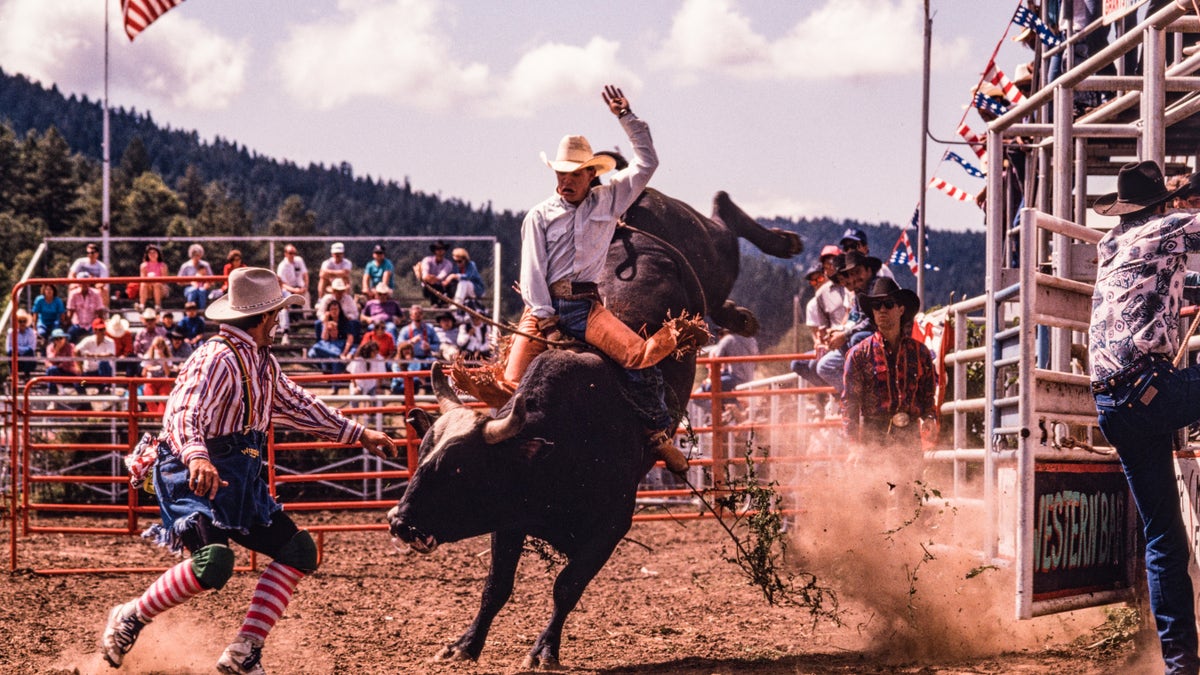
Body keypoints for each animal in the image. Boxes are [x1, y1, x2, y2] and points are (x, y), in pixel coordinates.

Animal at [386, 189, 796, 667]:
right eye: (422, 456)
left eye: (459, 468)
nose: (399, 522)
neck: (557, 446)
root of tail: (630, 217)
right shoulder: (509, 518)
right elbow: (496, 588)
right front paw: (464, 645)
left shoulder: (612, 526)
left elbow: (566, 587)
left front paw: (544, 651)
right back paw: (746, 308)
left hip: (711, 255)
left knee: (723, 219)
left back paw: (780, 247)